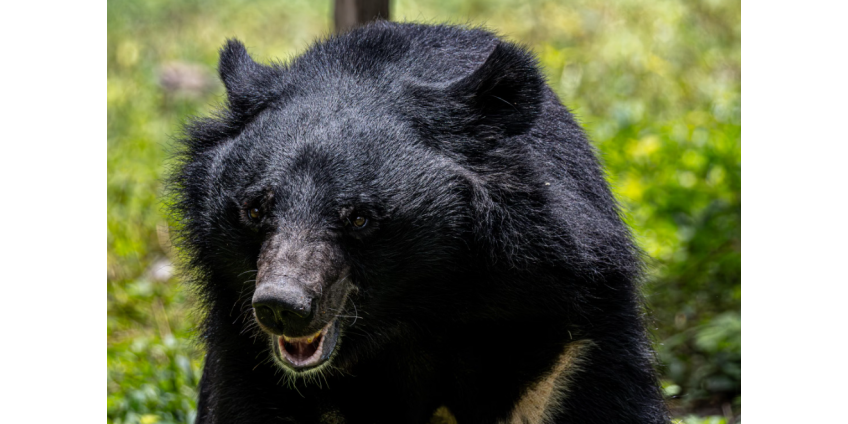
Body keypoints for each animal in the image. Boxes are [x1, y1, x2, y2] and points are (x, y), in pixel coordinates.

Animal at [168, 22, 670, 424]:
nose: (282, 306)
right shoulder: (250, 356)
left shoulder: (567, 339)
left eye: (359, 218)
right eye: (256, 209)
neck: (415, 316)